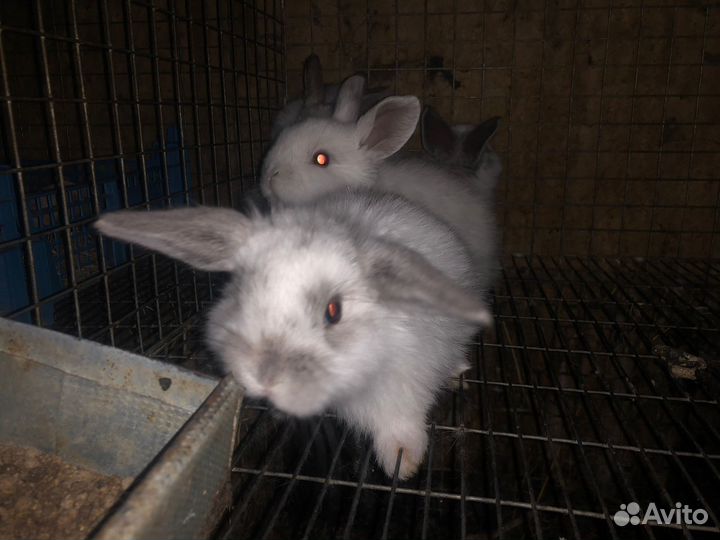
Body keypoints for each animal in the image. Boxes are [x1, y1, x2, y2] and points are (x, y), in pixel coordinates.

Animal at [95, 189, 491, 480]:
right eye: (241, 290)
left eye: (333, 311)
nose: (265, 376)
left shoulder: (404, 383)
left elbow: (400, 422)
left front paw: (402, 462)